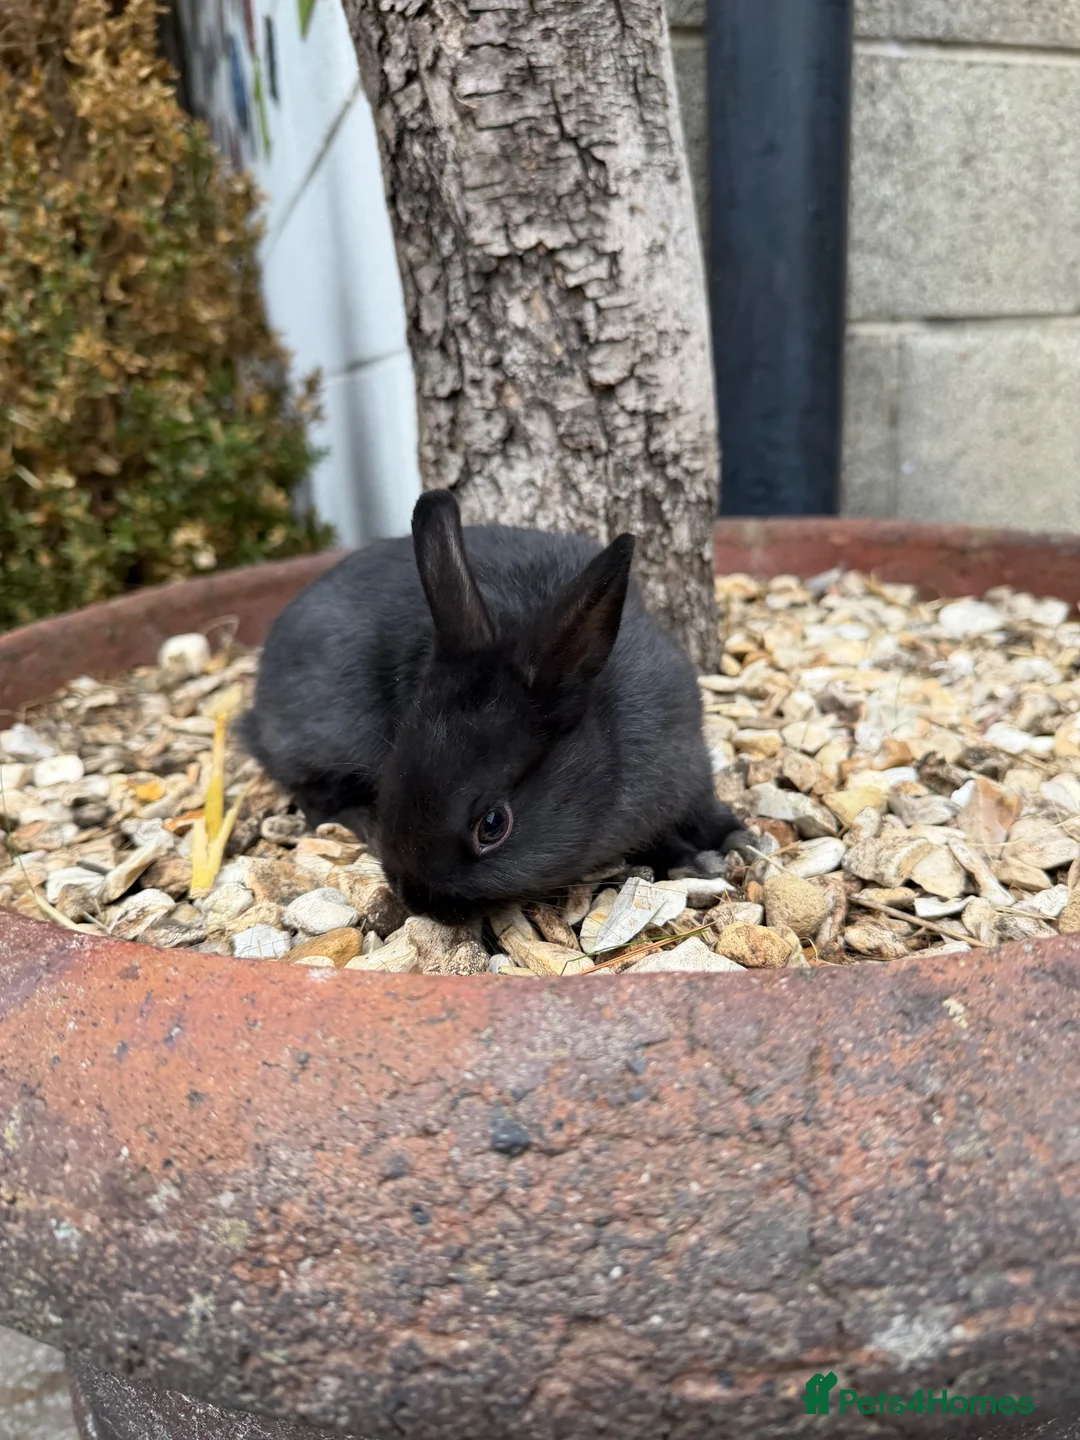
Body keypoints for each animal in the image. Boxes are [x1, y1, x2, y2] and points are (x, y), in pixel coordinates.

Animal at [240, 489, 748, 925]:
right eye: (389, 782)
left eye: (493, 825)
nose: (416, 901)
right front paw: (690, 859)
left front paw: (732, 837)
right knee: (314, 797)